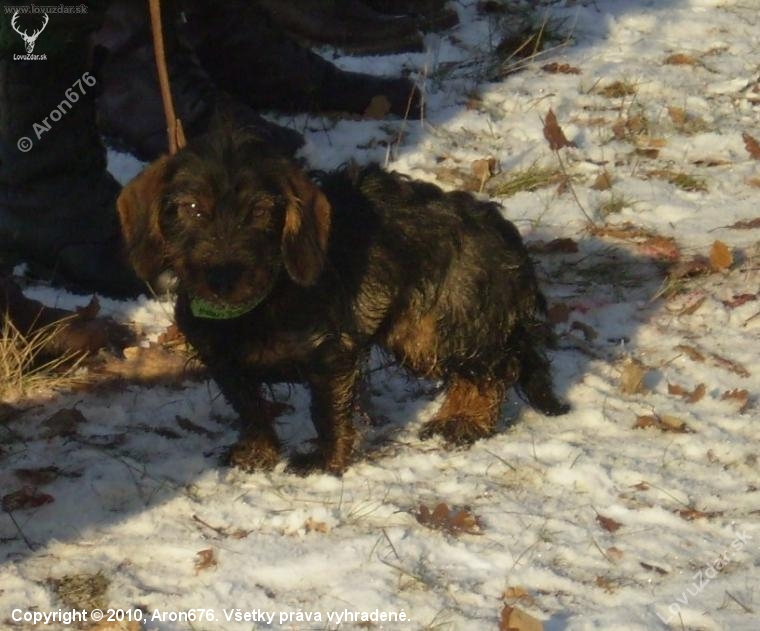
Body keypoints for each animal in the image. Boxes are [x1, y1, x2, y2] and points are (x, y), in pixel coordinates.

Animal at [117, 133, 569, 474]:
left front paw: (325, 461)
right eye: (190, 207)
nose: (223, 278)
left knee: (497, 366)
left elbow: (326, 410)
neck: (261, 303)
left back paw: (465, 421)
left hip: (435, 326)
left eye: (261, 211)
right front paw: (257, 453)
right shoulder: (223, 360)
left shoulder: (330, 351)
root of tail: (503, 231)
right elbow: (250, 407)